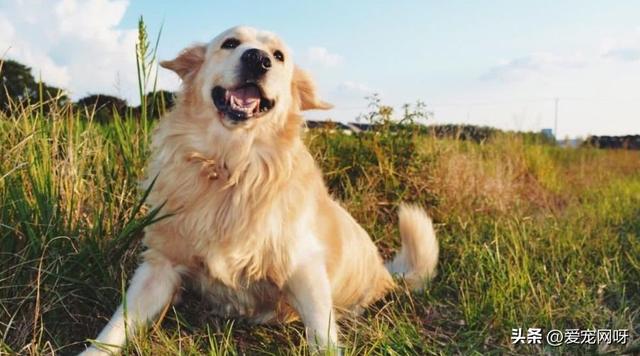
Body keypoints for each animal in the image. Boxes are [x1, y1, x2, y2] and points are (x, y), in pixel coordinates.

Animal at [80, 26, 438, 354]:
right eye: (230, 43)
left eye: (279, 56)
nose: (258, 59)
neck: (232, 168)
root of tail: (386, 274)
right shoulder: (160, 265)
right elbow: (115, 327)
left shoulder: (304, 268)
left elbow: (322, 337)